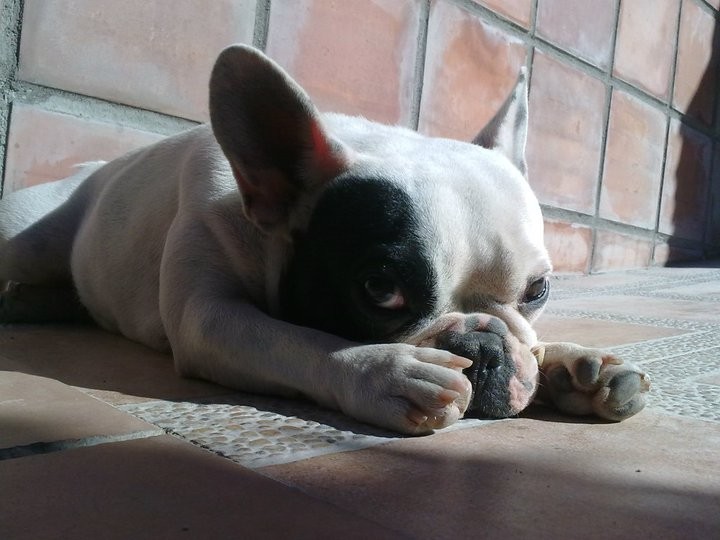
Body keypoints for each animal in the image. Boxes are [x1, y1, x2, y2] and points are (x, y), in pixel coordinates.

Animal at [0, 45, 649, 434]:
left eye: (539, 291)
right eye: (380, 289)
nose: (480, 350)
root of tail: (92, 169)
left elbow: (535, 350)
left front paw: (575, 365)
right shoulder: (209, 317)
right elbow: (295, 341)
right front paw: (386, 372)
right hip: (25, 236)